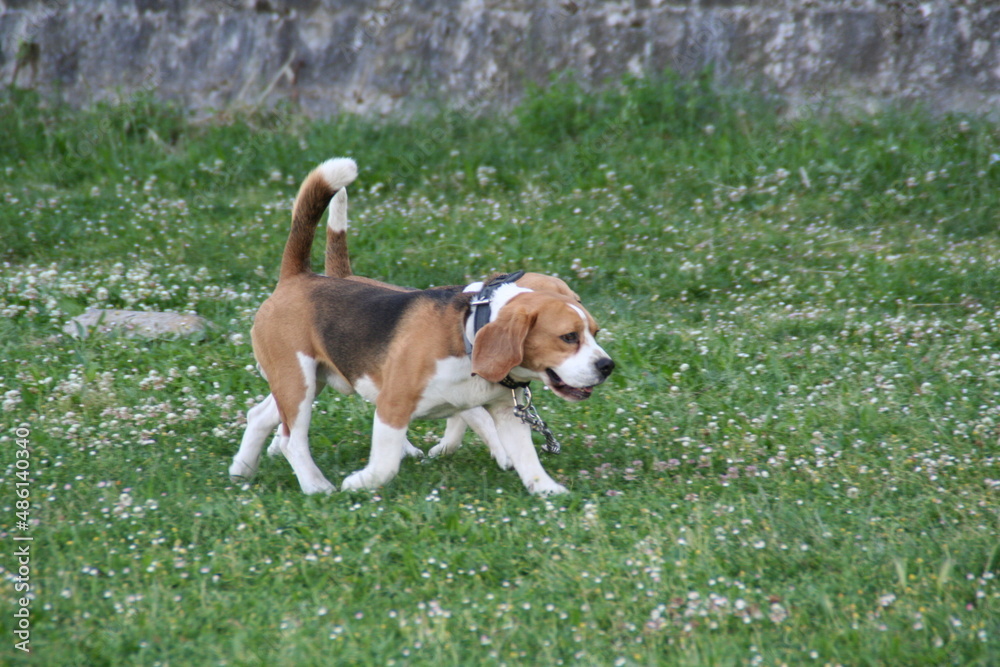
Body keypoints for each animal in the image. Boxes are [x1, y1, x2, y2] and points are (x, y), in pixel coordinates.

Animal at [229, 159, 612, 496]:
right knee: (291, 439)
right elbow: (385, 464)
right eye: (568, 337)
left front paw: (547, 490)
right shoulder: (393, 405)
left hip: (304, 379)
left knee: (260, 416)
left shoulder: (506, 413)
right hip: (298, 379)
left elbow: (527, 457)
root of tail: (299, 276)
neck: (469, 333)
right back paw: (315, 486)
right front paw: (360, 482)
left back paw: (242, 471)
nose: (607, 366)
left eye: (595, 332)